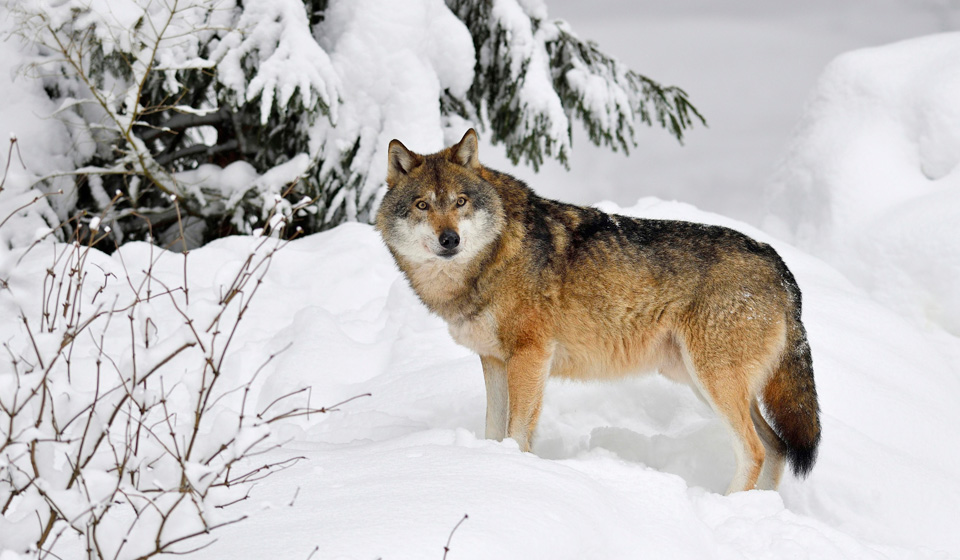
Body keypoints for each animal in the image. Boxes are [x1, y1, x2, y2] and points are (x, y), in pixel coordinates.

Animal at [378, 129, 820, 492]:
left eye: (460, 202)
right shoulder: (494, 361)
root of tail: (779, 265)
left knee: (755, 450)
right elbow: (492, 429)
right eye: (422, 205)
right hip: (704, 382)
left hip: (713, 381)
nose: (449, 239)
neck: (494, 255)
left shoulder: (531, 356)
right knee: (777, 447)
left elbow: (517, 433)